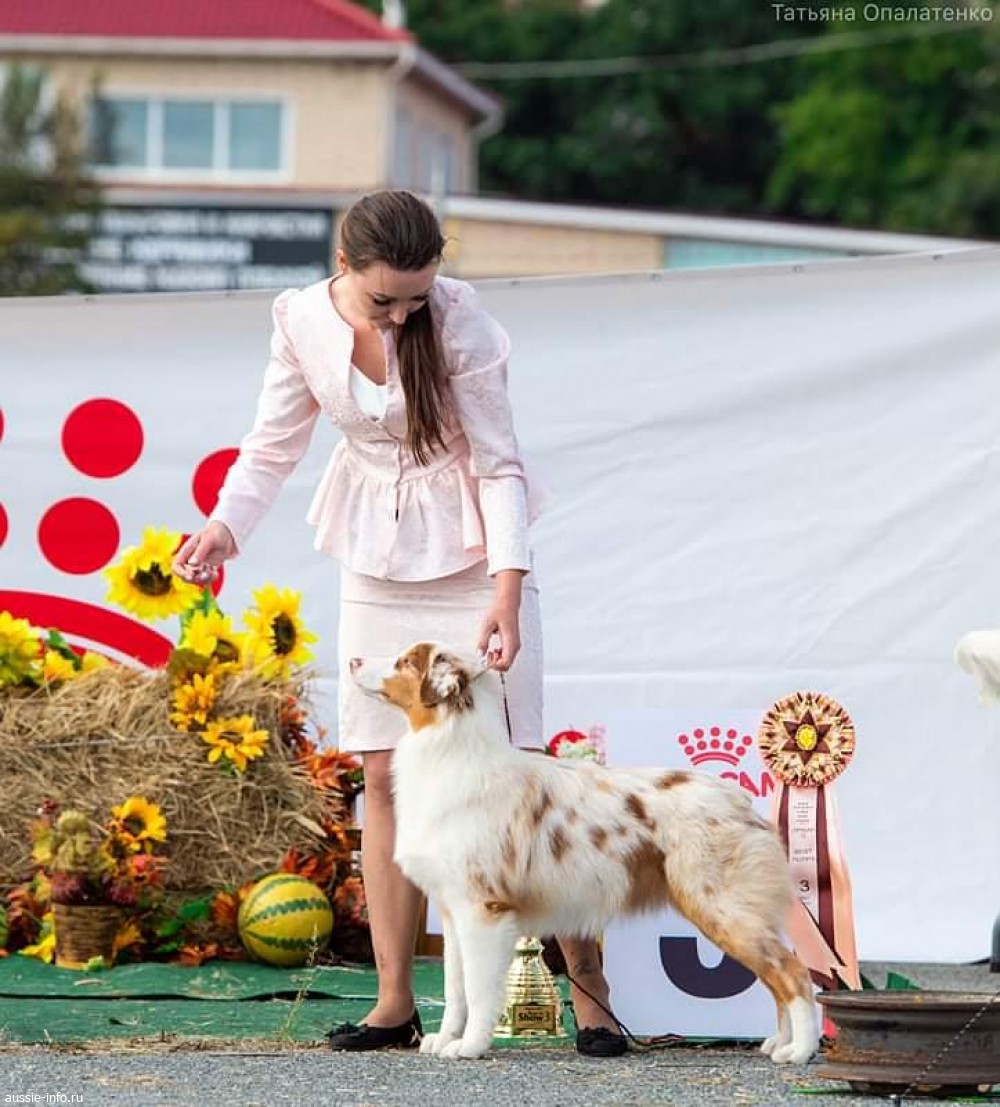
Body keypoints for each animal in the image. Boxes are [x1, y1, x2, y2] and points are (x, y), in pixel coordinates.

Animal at [351, 642, 819, 1063]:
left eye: (404, 661)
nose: (353, 659)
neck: (449, 750)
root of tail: (740, 802)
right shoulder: (452, 910)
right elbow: (456, 988)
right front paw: (445, 1039)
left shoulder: (483, 909)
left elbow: (480, 989)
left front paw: (469, 1047)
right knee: (776, 977)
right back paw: (779, 1044)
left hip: (722, 906)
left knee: (793, 973)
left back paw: (800, 1051)